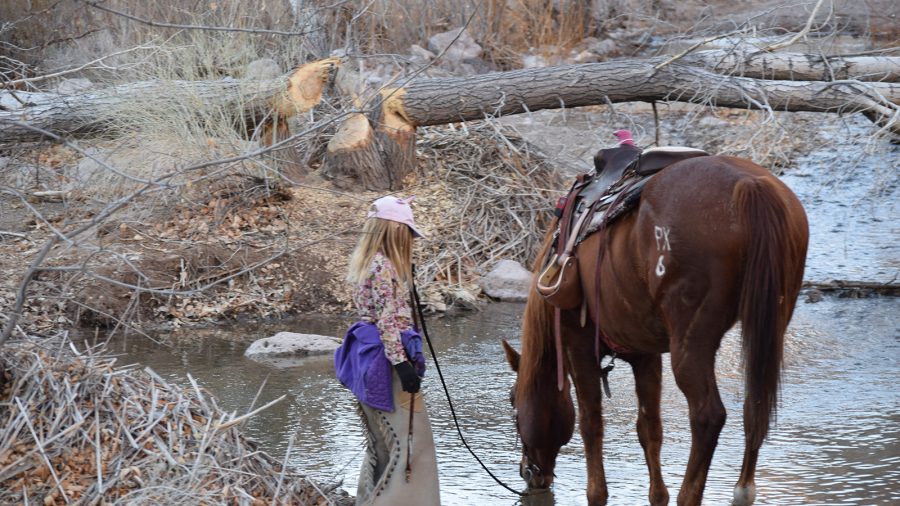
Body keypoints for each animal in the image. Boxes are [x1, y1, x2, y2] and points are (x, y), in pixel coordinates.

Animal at [501, 153, 809, 506]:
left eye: (513, 401)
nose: (528, 472)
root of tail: (751, 185)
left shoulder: (577, 345)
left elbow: (591, 424)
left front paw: (597, 493)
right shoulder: (644, 353)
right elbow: (649, 429)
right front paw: (658, 493)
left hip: (691, 340)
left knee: (708, 416)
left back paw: (689, 495)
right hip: (769, 329)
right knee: (755, 408)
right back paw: (743, 490)